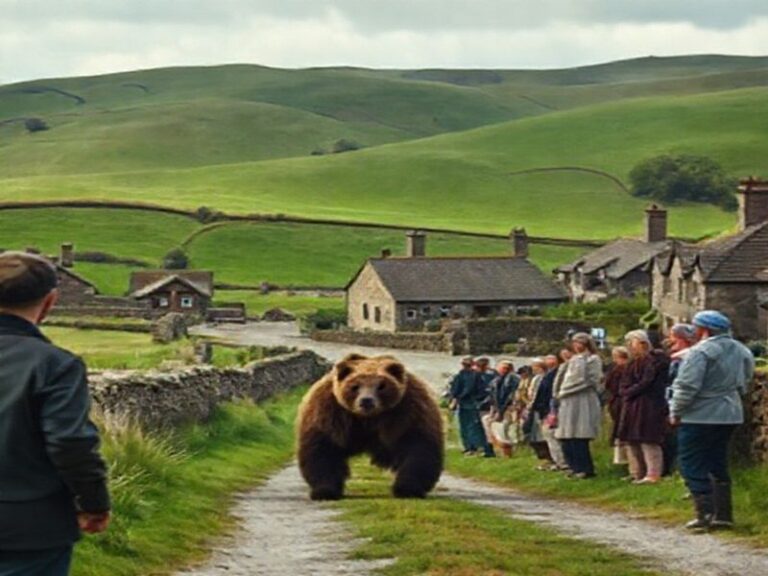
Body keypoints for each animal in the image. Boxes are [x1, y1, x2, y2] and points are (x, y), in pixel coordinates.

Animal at [296, 353, 444, 500]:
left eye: (381, 386)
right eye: (355, 386)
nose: (366, 400)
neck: (369, 419)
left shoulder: (408, 413)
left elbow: (417, 449)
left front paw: (408, 489)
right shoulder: (331, 414)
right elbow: (323, 450)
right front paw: (324, 491)